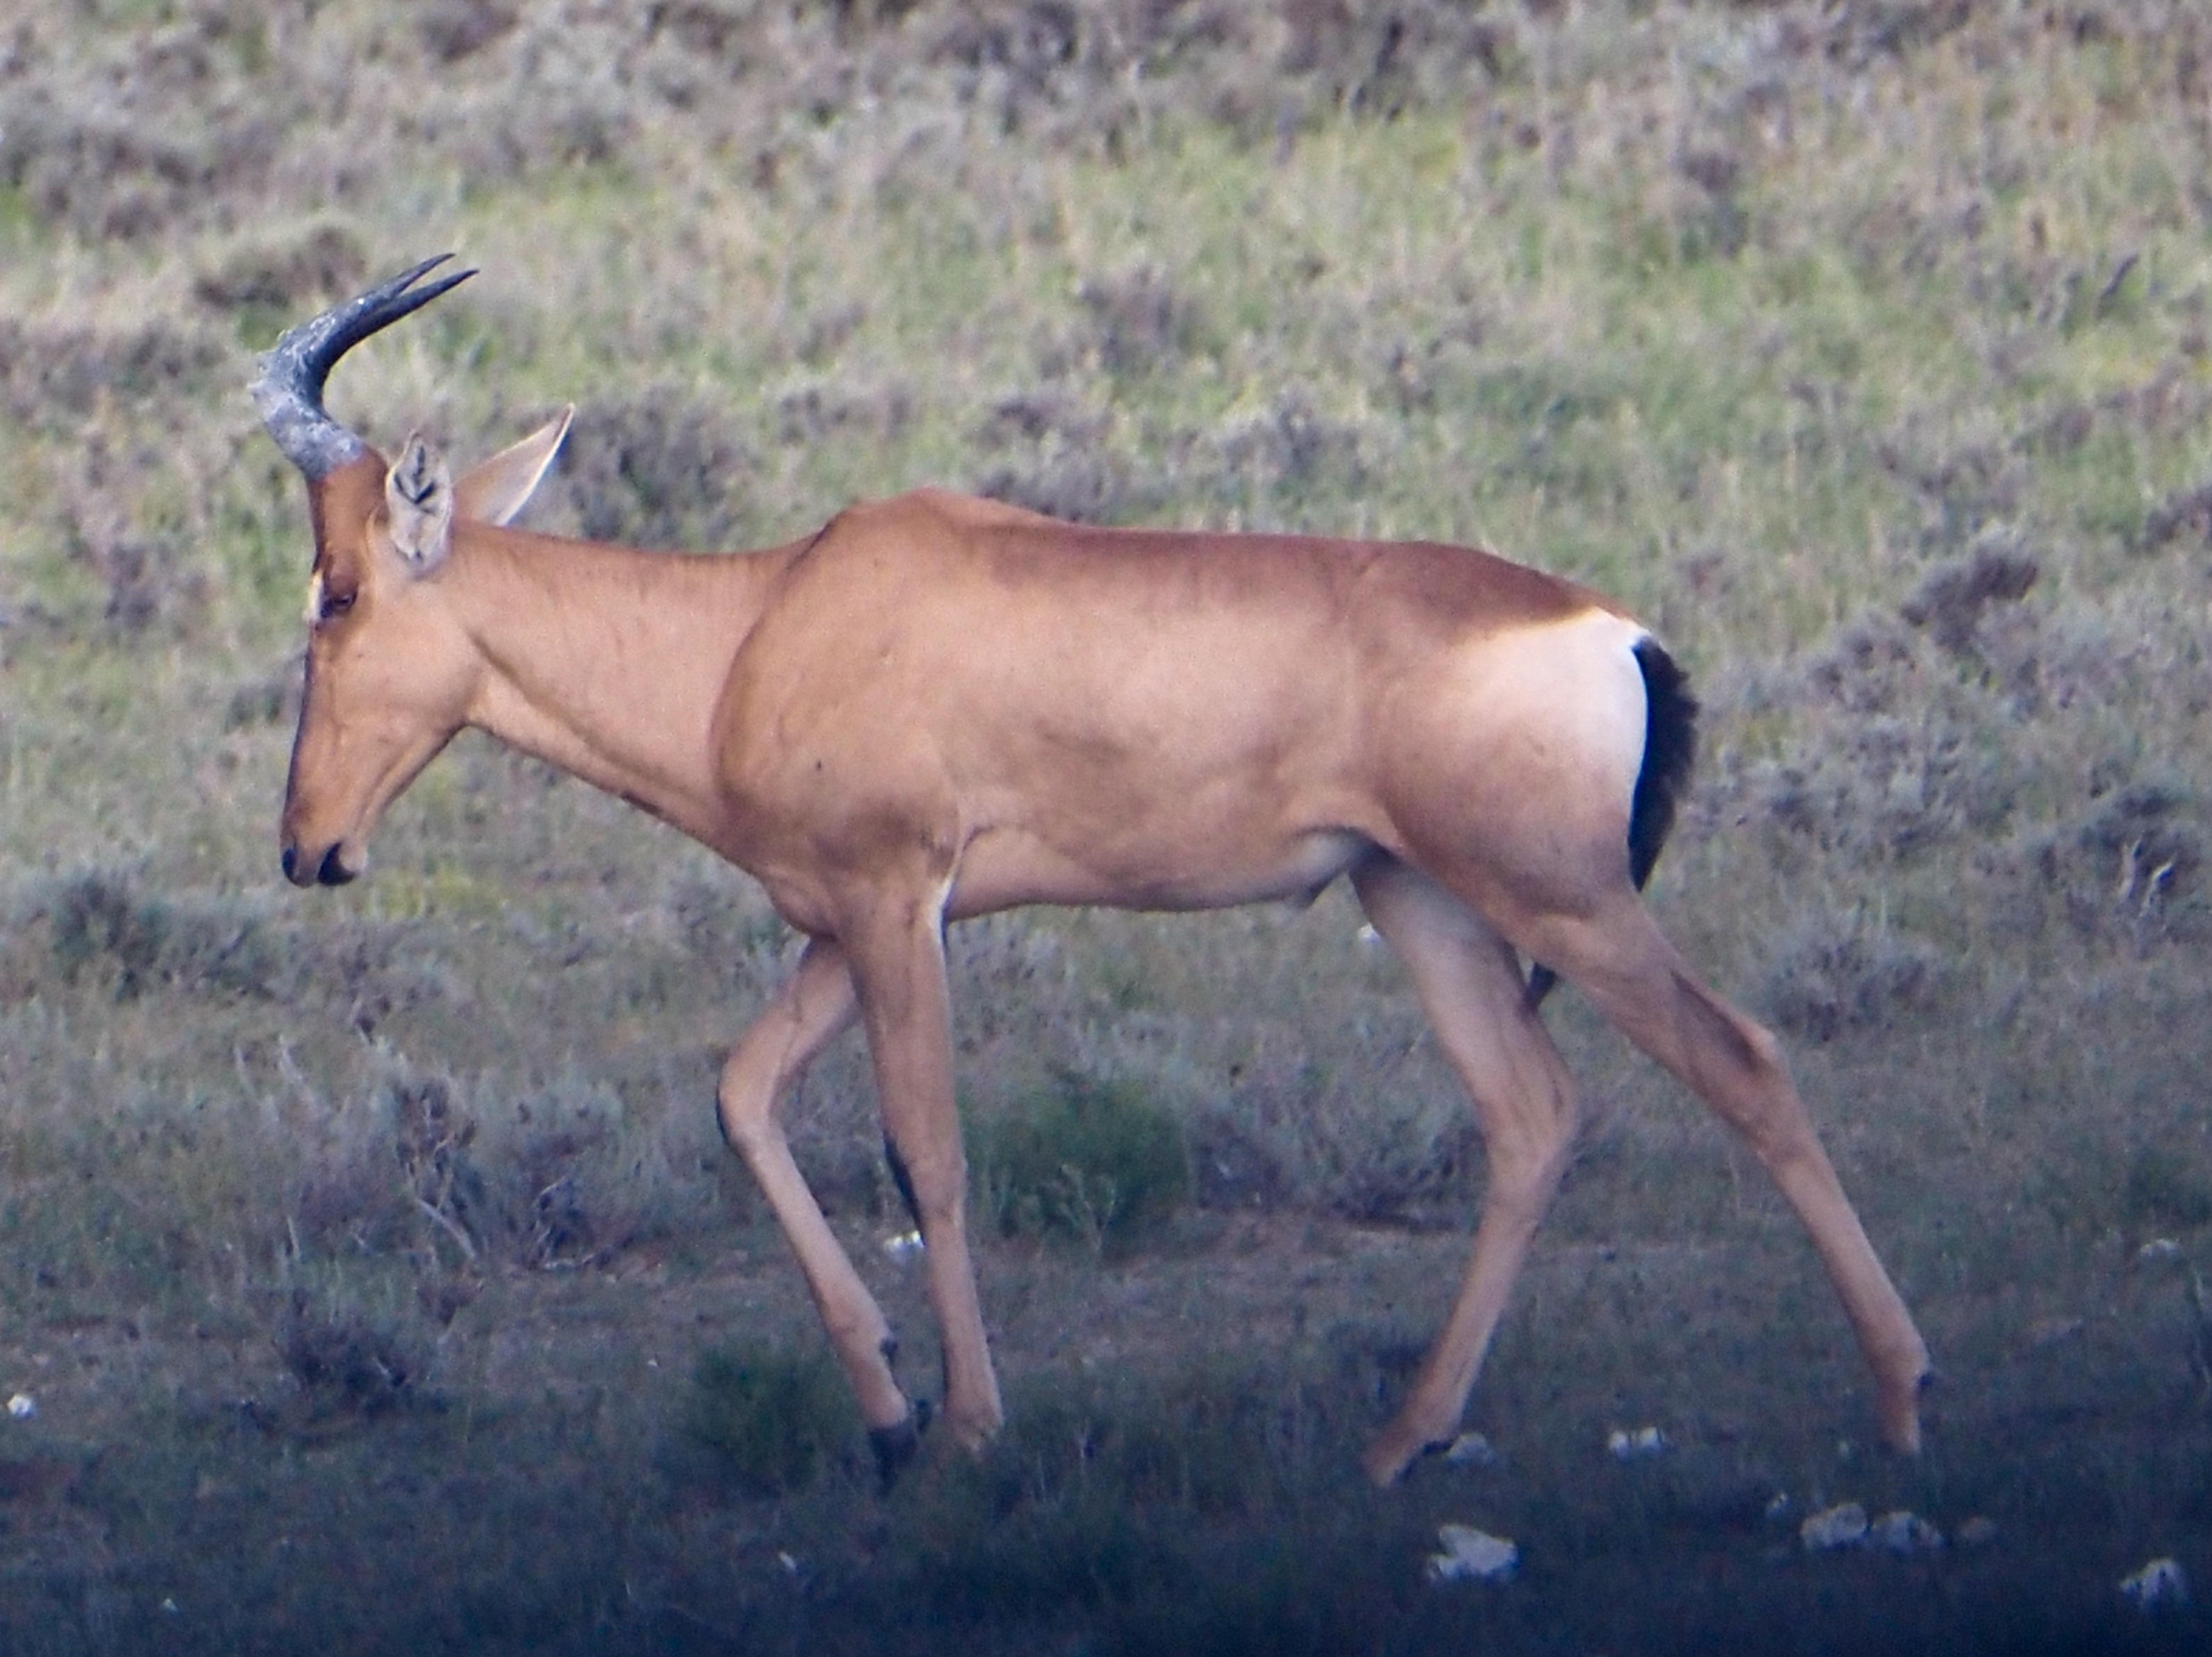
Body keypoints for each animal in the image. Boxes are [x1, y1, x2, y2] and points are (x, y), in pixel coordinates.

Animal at [251, 257, 1931, 1488]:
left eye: (335, 591)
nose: (307, 846)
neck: (764, 619)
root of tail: (1617, 632)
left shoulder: (898, 906)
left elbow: (928, 1154)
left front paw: (969, 1427)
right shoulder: (843, 924)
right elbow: (743, 1095)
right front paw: (885, 1408)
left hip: (1563, 899)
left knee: (1743, 1059)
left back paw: (1902, 1402)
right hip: (1425, 900)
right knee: (1531, 1114)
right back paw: (1402, 1437)